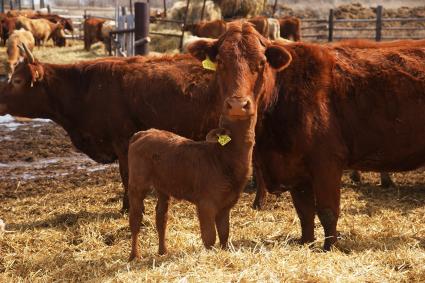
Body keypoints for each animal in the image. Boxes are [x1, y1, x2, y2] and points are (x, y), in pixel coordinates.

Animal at [127, 96, 256, 262]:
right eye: (225, 123)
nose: (238, 105)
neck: (222, 159)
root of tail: (144, 133)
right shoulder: (206, 203)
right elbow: (209, 236)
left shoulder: (226, 203)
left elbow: (224, 233)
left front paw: (224, 251)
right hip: (137, 183)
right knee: (135, 218)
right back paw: (134, 256)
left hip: (163, 185)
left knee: (161, 217)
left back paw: (163, 251)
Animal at [187, 23, 424, 251]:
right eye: (220, 61)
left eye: (262, 62)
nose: (238, 105)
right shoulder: (295, 169)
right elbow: (305, 212)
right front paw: (306, 242)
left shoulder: (327, 162)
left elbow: (327, 211)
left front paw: (329, 247)